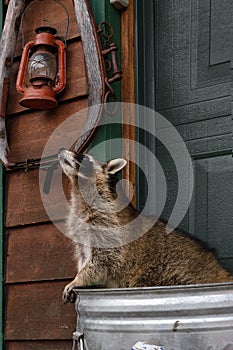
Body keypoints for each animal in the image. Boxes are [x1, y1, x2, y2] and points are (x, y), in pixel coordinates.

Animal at [57, 149, 233, 302]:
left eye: (83, 157)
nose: (60, 150)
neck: (80, 190)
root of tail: (218, 268)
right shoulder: (80, 230)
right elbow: (84, 256)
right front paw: (80, 273)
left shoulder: (107, 226)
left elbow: (105, 259)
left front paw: (78, 279)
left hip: (170, 271)